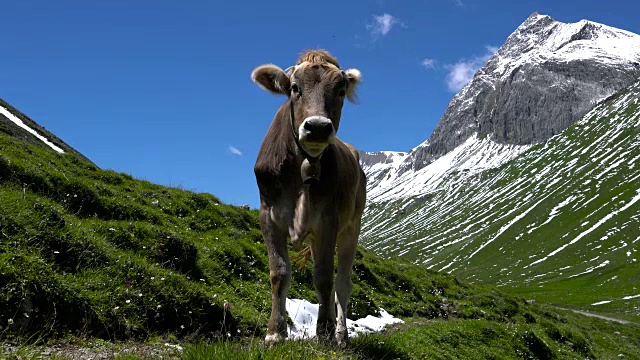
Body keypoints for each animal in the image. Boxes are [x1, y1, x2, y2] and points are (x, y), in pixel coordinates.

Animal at [252, 50, 368, 346]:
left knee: (342, 283)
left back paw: (340, 334)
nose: (317, 127)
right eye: (295, 88)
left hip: (352, 226)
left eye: (340, 90)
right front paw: (275, 332)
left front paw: (324, 332)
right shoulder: (268, 215)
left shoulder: (329, 219)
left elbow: (324, 277)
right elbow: (279, 272)